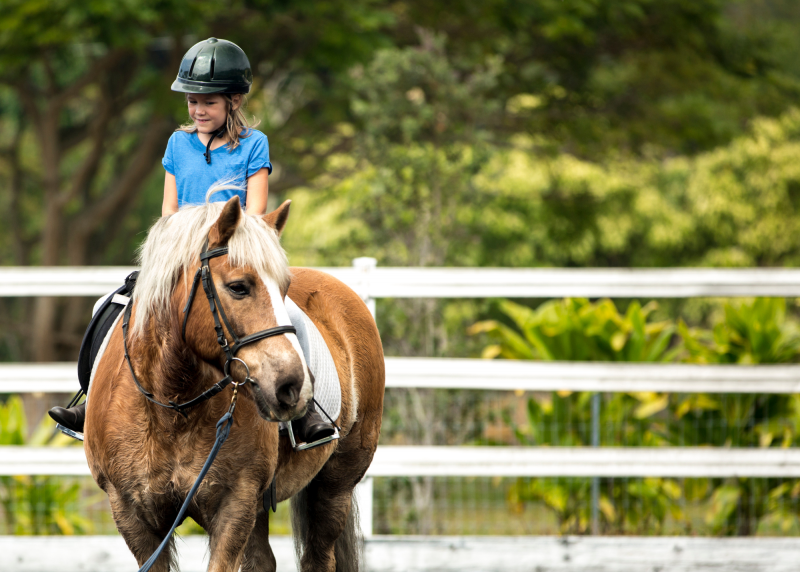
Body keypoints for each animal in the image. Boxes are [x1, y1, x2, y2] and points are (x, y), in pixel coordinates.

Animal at [83, 197, 386, 572]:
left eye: (284, 289)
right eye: (238, 287)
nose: (292, 386)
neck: (173, 406)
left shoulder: (234, 505)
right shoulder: (132, 515)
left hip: (335, 485)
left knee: (318, 555)